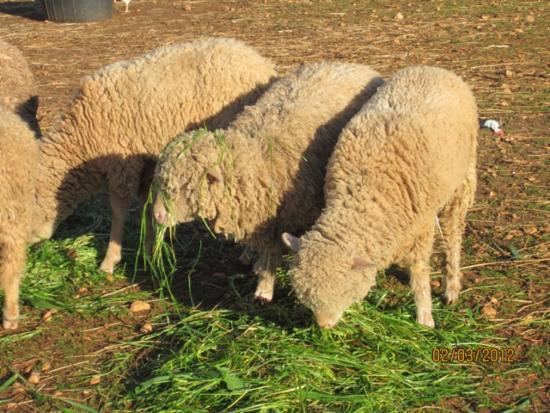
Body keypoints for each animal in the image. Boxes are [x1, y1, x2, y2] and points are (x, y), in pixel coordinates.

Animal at [29, 36, 280, 274]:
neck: (83, 136)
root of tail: (265, 65)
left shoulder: (122, 166)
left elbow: (118, 211)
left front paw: (110, 260)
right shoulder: (146, 162)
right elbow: (146, 204)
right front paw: (148, 250)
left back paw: (250, 255)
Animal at [150, 60, 384, 300]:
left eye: (184, 185)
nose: (156, 215)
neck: (255, 159)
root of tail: (351, 64)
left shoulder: (278, 219)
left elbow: (271, 253)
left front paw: (264, 289)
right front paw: (251, 259)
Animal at [284, 64, 478, 328]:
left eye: (344, 292)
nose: (323, 326)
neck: (363, 194)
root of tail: (433, 68)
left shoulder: (421, 228)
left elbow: (419, 270)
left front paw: (425, 316)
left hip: (463, 179)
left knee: (453, 233)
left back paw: (452, 285)